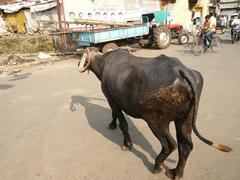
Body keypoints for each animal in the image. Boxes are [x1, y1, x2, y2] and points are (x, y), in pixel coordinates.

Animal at [78, 47, 232, 179]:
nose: (79, 63)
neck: (104, 64)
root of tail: (181, 70)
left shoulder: (111, 99)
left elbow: (122, 122)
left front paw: (127, 143)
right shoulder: (115, 101)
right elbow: (115, 115)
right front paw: (112, 124)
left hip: (156, 122)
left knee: (170, 144)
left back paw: (158, 165)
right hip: (185, 119)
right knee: (186, 145)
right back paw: (176, 173)